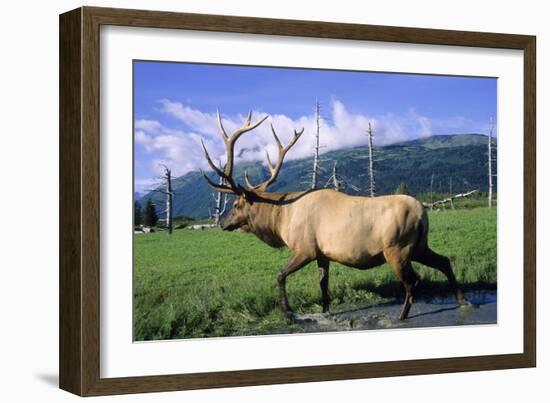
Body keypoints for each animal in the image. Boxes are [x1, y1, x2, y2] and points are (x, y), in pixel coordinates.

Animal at [203, 109, 470, 318]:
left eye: (236, 205)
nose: (222, 223)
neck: (281, 221)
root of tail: (423, 212)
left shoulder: (305, 249)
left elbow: (280, 275)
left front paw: (288, 312)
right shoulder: (323, 254)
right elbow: (323, 283)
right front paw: (325, 310)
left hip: (397, 249)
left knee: (412, 281)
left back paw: (402, 316)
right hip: (419, 246)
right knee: (444, 261)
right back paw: (462, 300)